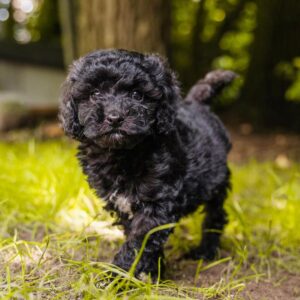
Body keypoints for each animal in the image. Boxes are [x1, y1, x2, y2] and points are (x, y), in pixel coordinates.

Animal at [59, 48, 237, 278]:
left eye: (137, 95)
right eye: (95, 94)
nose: (114, 117)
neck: (122, 155)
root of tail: (198, 104)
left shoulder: (158, 202)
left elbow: (139, 241)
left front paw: (118, 276)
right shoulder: (122, 204)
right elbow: (138, 237)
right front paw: (153, 271)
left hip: (215, 180)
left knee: (216, 214)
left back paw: (205, 250)